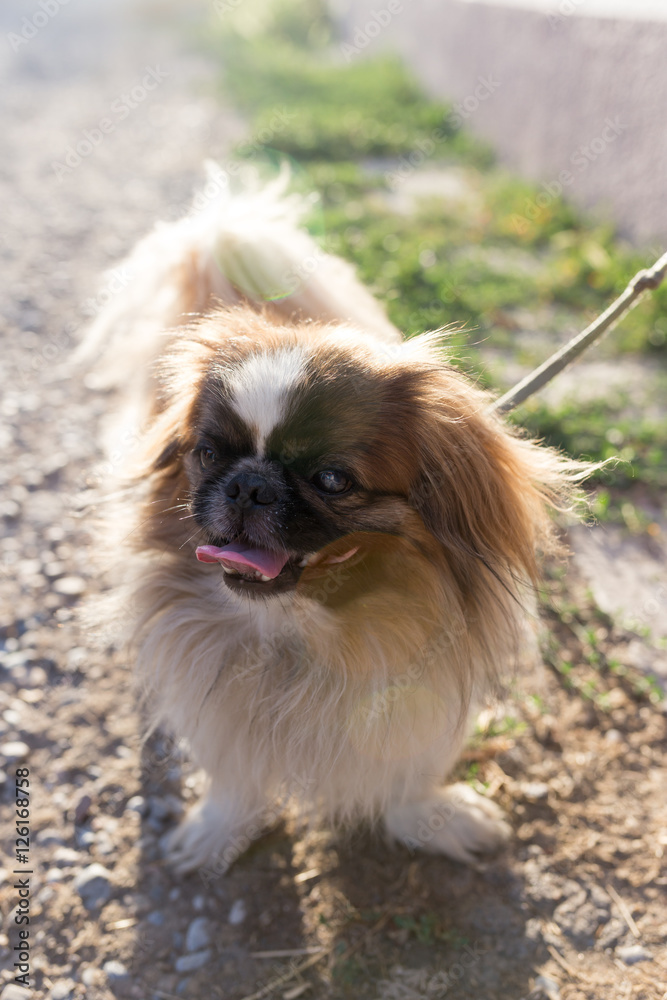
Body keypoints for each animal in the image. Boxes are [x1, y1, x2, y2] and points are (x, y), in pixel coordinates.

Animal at [81, 166, 588, 876]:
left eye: (331, 481)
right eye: (209, 453)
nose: (249, 485)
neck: (303, 630)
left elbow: (408, 777)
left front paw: (435, 820)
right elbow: (234, 779)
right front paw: (216, 833)